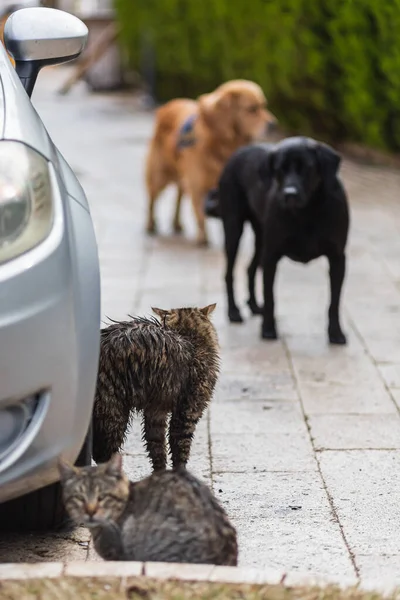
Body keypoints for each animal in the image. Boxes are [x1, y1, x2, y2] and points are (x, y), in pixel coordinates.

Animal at [92, 308, 220, 472]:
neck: (191, 339)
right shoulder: (187, 410)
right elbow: (180, 449)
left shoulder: (155, 410)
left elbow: (157, 447)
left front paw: (160, 474)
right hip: (112, 413)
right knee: (102, 454)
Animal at [145, 79, 276, 244]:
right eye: (252, 109)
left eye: (264, 106)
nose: (273, 124)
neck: (220, 144)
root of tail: (167, 105)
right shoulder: (197, 184)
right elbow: (200, 214)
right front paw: (203, 238)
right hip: (160, 174)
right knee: (152, 198)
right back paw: (150, 224)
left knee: (179, 197)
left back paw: (176, 223)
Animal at [212, 136, 350, 342]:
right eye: (279, 170)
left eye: (307, 168)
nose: (289, 194)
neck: (307, 212)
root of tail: (238, 153)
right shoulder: (271, 256)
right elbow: (270, 297)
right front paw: (268, 329)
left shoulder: (338, 258)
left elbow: (334, 301)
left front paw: (335, 333)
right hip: (234, 230)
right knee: (229, 274)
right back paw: (234, 312)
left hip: (260, 239)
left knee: (250, 268)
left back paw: (254, 306)